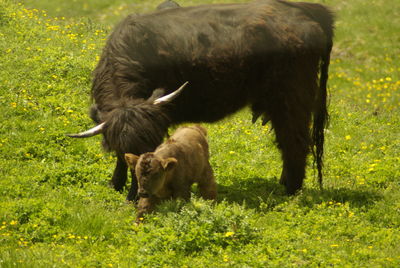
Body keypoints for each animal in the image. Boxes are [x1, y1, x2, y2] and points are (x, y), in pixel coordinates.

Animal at [69, 0, 334, 200]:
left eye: (152, 147)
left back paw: (291, 191)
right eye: (126, 151)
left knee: (296, 142)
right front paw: (115, 183)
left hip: (292, 98)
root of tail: (306, 10)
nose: (138, 194)